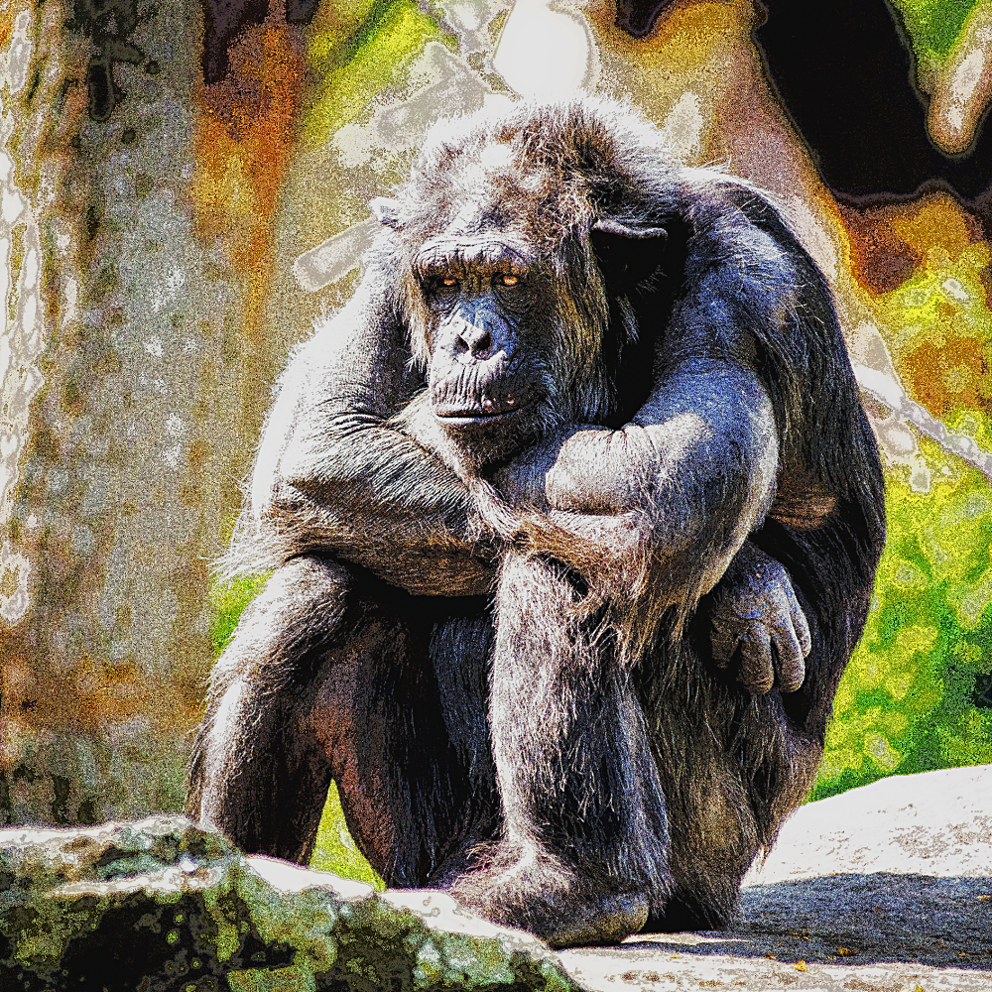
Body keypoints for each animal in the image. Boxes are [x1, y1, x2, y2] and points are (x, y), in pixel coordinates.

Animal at [187, 96, 885, 948]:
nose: (468, 338)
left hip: (711, 845)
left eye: (510, 279)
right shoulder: (393, 262)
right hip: (422, 851)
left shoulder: (748, 279)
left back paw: (576, 885)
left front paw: (749, 584)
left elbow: (664, 480)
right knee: (317, 591)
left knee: (575, 559)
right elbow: (321, 437)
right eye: (445, 282)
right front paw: (752, 585)